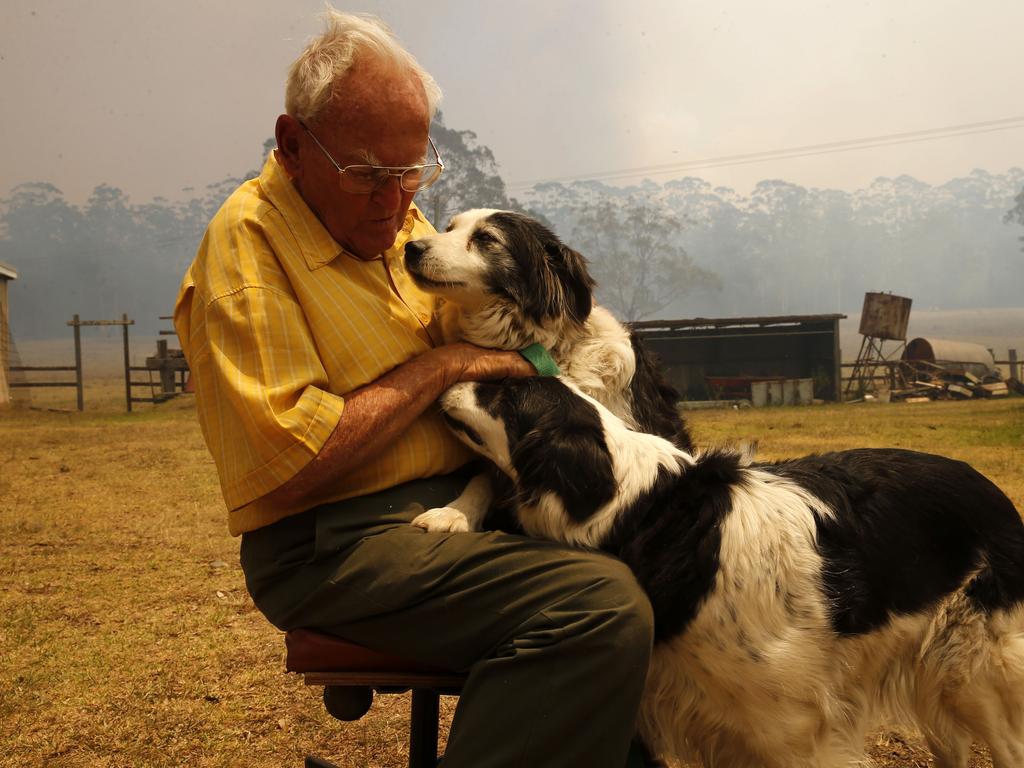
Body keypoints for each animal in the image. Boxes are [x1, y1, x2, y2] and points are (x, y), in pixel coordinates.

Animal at [403, 210, 692, 536]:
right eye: (449, 228)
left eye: (486, 238)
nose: (410, 248)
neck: (545, 348)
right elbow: (484, 476)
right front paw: (456, 511)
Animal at [436, 376, 1024, 768]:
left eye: (503, 395)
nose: (449, 378)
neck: (642, 509)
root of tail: (996, 495)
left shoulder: (794, 731)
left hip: (975, 673)